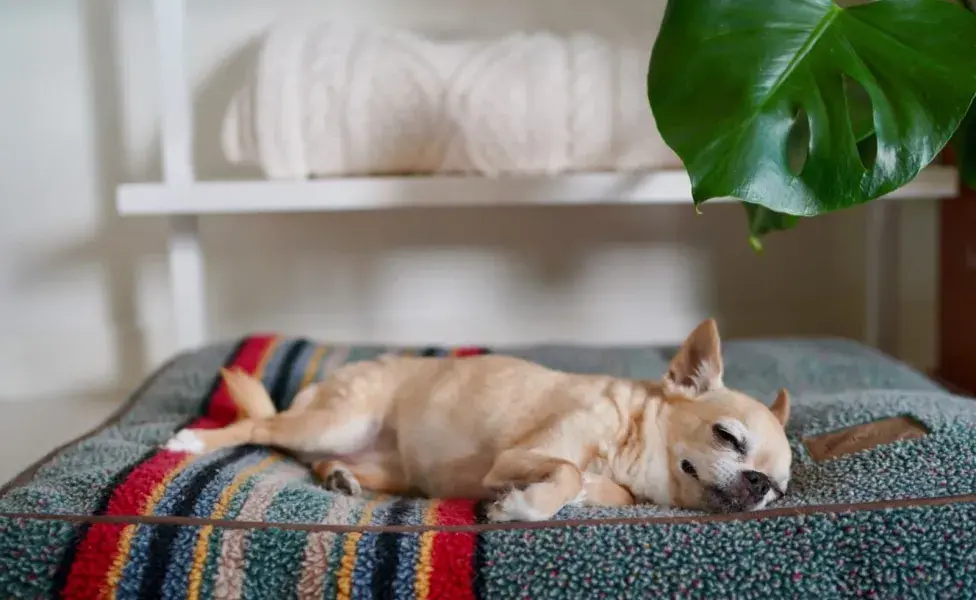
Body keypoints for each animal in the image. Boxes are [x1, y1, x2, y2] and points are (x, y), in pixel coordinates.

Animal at [166, 318, 792, 520]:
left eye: (779, 491)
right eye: (727, 436)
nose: (757, 484)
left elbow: (603, 488)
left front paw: (576, 492)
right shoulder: (514, 456)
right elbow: (566, 469)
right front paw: (522, 507)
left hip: (393, 469)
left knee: (323, 461)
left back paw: (340, 477)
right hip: (334, 421)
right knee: (259, 428)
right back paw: (192, 440)